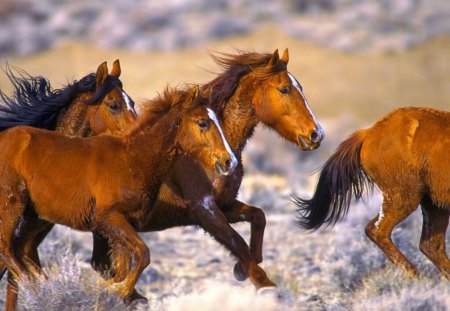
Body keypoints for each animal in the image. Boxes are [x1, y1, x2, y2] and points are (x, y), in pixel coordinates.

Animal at [0, 86, 239, 304]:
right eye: (203, 123)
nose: (230, 161)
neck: (132, 160)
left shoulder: (125, 225)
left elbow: (125, 266)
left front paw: (114, 290)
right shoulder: (109, 218)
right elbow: (143, 254)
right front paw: (117, 290)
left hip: (34, 216)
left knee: (18, 251)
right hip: (13, 206)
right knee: (8, 250)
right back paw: (40, 288)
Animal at [90, 47, 324, 292]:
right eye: (284, 89)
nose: (316, 134)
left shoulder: (224, 205)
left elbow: (258, 217)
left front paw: (241, 268)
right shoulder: (204, 209)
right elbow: (238, 244)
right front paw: (260, 282)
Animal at [296, 108, 450, 280]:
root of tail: (369, 133)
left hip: (433, 204)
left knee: (431, 245)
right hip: (405, 198)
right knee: (378, 231)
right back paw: (414, 275)